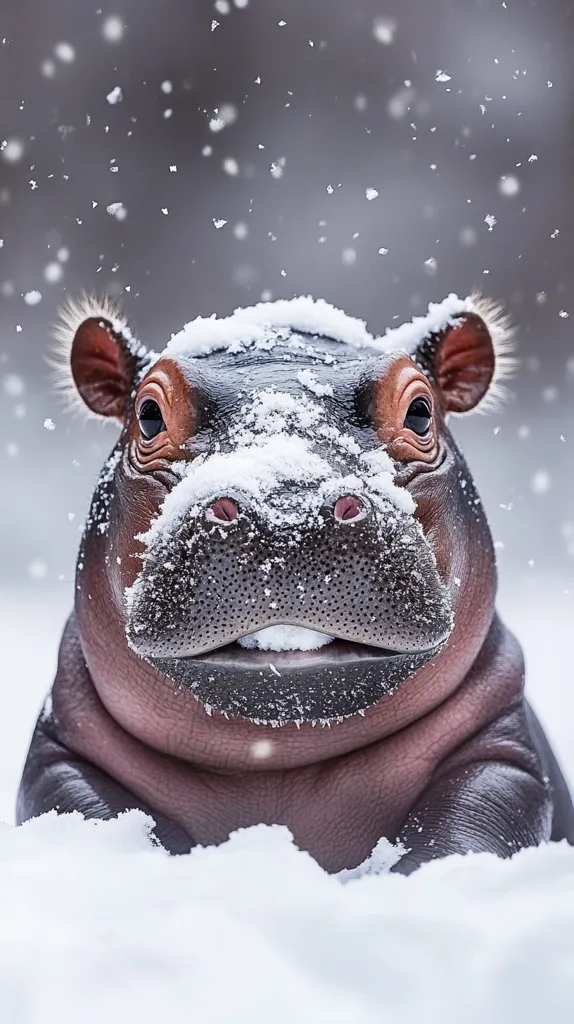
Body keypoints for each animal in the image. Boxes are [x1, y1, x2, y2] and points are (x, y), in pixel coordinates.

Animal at [18, 292, 574, 874]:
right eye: (147, 417)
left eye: (421, 411)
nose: (287, 508)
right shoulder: (62, 757)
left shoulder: (504, 755)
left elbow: (469, 827)